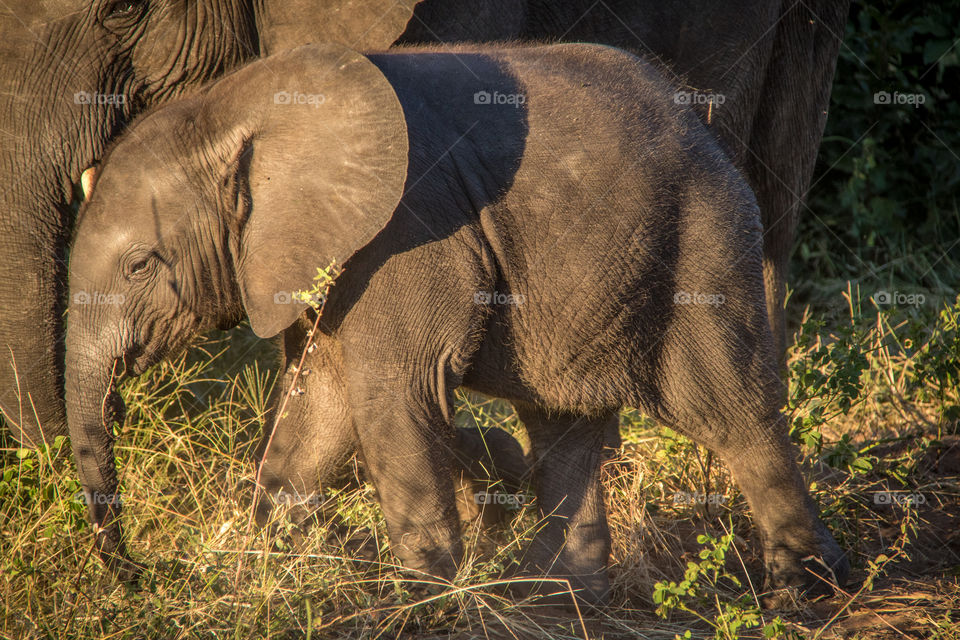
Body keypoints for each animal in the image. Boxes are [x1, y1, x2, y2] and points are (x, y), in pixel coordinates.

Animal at [67, 41, 848, 604]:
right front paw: (256, 579)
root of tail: (699, 118)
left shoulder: (408, 231)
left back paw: (802, 591)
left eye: (138, 266)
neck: (230, 109)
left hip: (704, 237)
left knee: (729, 412)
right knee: (563, 426)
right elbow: (320, 405)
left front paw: (421, 603)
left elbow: (393, 395)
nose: (140, 576)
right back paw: (563, 599)